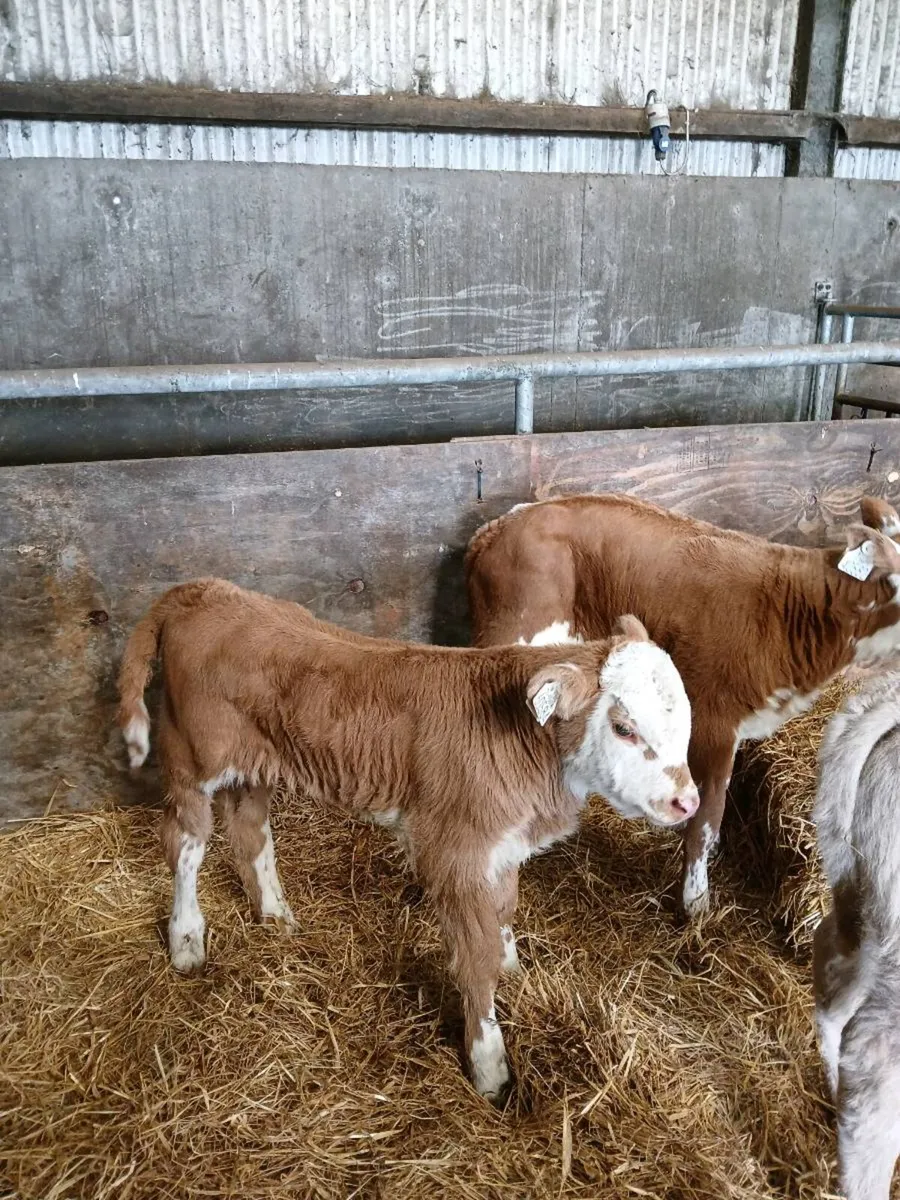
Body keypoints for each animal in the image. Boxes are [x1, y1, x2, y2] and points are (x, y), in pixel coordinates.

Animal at [117, 578, 698, 1100]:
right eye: (624, 728)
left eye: (685, 720)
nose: (688, 802)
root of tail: (203, 590)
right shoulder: (455, 853)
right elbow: (476, 958)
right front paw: (491, 1069)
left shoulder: (502, 845)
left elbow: (504, 911)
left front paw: (513, 965)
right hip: (191, 758)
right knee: (185, 843)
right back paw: (186, 939)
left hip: (253, 765)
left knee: (249, 830)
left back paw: (276, 916)